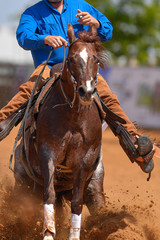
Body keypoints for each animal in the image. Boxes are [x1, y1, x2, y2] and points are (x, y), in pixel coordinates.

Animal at [14, 24, 106, 240]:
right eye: (71, 59)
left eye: (96, 59)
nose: (86, 92)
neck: (73, 117)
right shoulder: (48, 153)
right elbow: (49, 195)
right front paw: (48, 233)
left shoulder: (84, 161)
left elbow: (77, 203)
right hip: (22, 181)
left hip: (95, 184)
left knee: (96, 203)